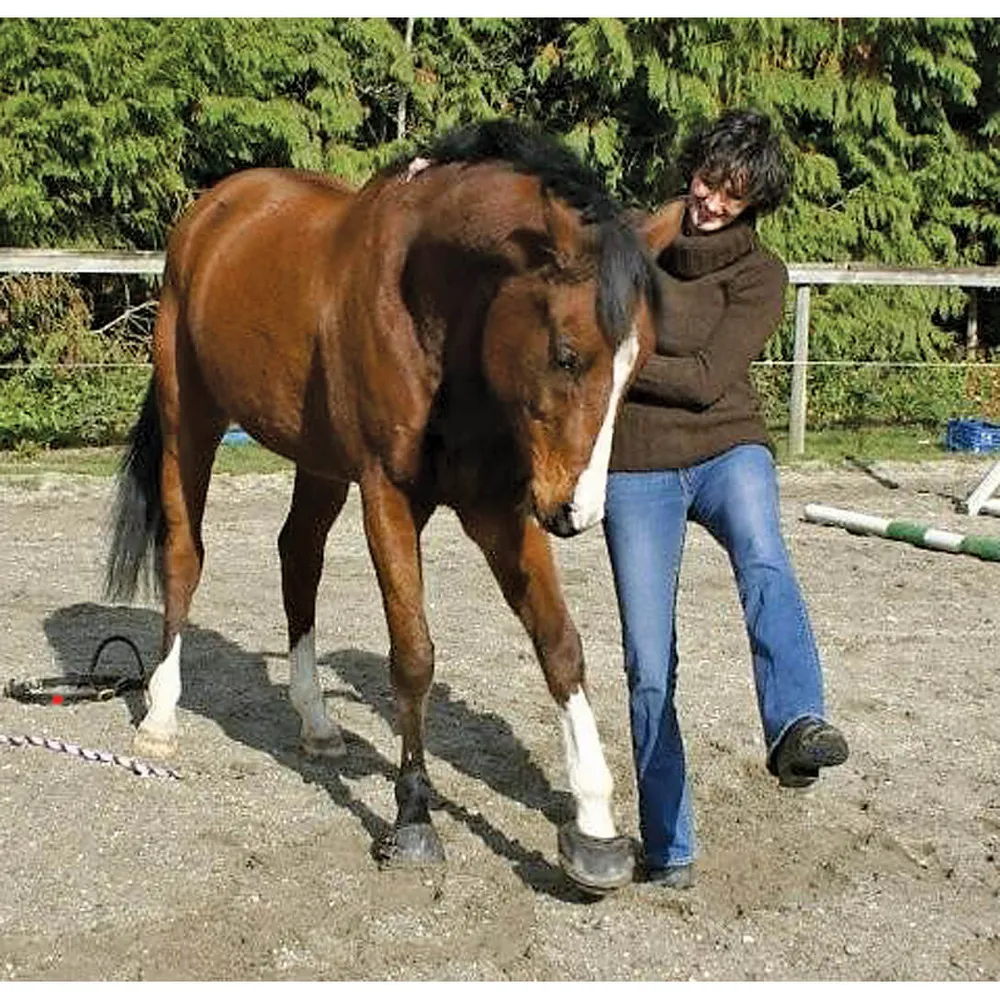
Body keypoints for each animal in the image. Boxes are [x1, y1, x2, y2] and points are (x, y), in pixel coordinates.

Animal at [105, 120, 664, 895]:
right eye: (565, 353)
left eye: (636, 368)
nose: (576, 514)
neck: (432, 310)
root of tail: (213, 209)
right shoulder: (389, 498)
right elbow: (414, 657)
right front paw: (414, 819)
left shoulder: (499, 508)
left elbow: (560, 644)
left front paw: (596, 827)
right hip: (192, 419)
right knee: (185, 555)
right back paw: (160, 719)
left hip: (315, 458)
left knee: (298, 556)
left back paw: (314, 722)